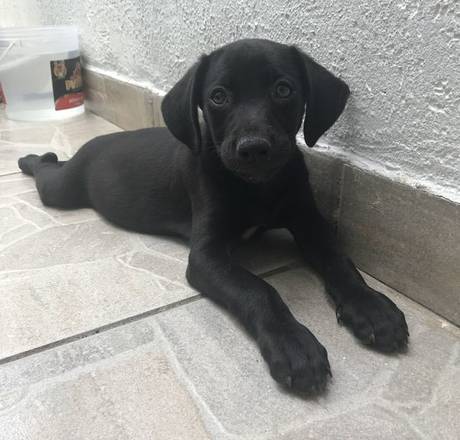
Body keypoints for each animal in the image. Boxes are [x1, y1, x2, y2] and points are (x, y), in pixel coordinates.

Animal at [18, 39, 408, 393]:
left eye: (284, 90)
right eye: (218, 96)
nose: (253, 148)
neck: (257, 187)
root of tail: (93, 143)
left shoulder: (309, 222)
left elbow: (339, 261)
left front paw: (372, 308)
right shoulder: (206, 256)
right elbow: (258, 290)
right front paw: (293, 344)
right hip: (62, 190)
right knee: (45, 173)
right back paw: (32, 158)